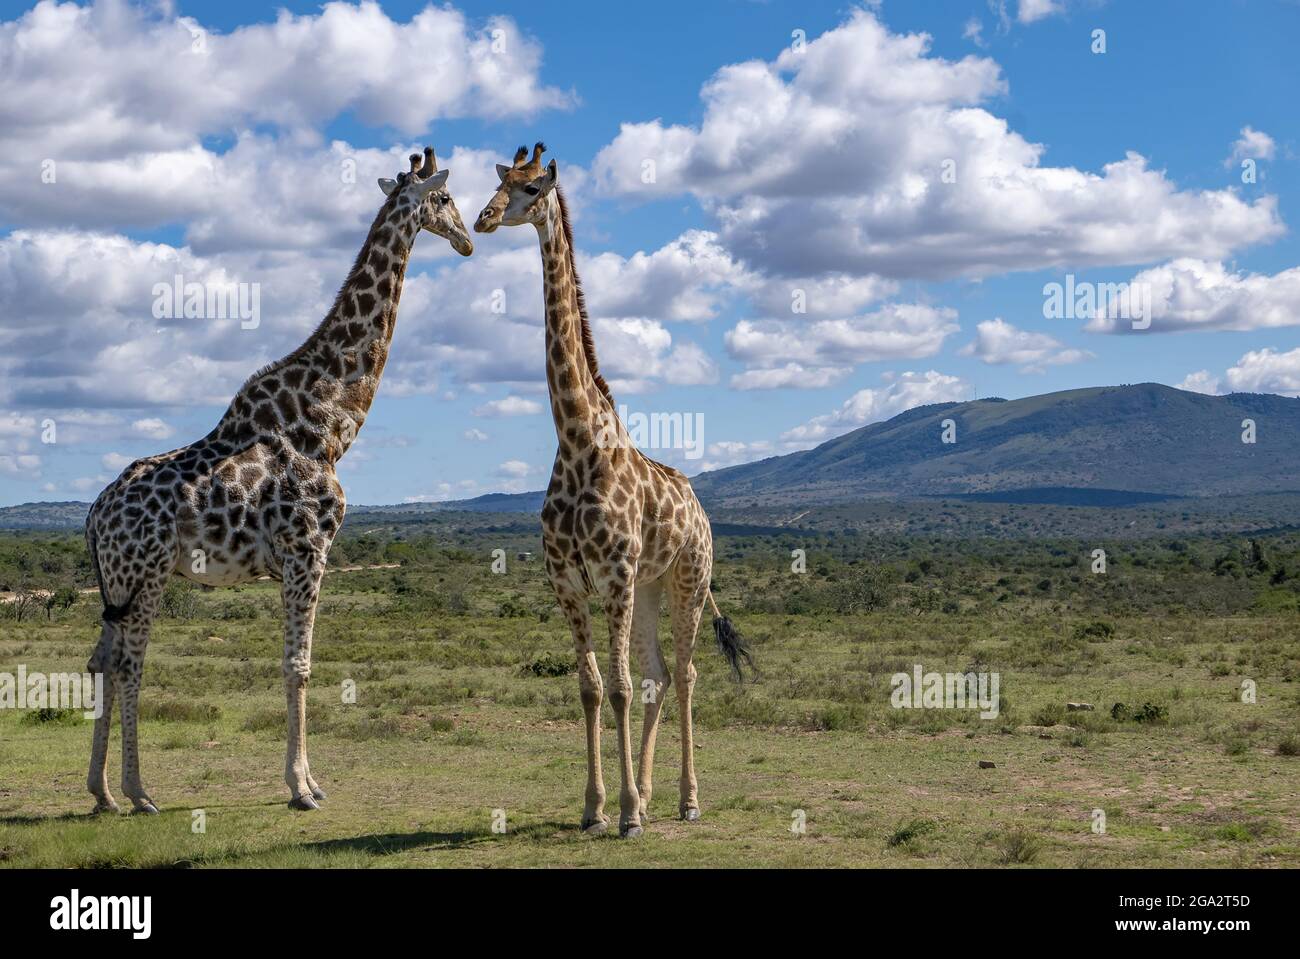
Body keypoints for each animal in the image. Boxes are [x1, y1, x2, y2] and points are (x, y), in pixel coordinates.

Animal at [81, 149, 470, 816]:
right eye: (445, 200)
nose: (469, 240)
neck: (330, 422)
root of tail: (93, 514)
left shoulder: (301, 555)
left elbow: (297, 663)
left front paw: (307, 781)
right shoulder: (308, 549)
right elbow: (298, 664)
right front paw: (302, 788)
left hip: (119, 580)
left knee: (102, 660)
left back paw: (102, 792)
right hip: (145, 573)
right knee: (130, 665)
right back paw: (139, 792)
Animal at [473, 143, 759, 836]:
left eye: (533, 188)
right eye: (500, 181)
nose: (484, 218)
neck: (578, 440)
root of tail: (702, 511)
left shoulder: (615, 578)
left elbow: (623, 688)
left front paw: (625, 813)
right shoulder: (570, 584)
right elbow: (593, 688)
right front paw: (596, 807)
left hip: (687, 579)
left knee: (684, 673)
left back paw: (684, 800)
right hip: (652, 588)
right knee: (659, 674)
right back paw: (653, 795)